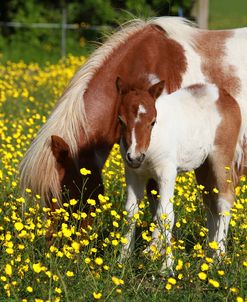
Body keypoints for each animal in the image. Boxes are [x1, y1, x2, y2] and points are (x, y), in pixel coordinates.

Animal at [117, 78, 241, 274]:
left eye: (153, 122)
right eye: (121, 120)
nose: (135, 157)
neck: (151, 144)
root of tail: (223, 94)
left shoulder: (167, 172)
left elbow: (165, 214)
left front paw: (166, 267)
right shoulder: (133, 174)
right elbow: (131, 212)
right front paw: (123, 258)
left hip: (221, 158)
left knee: (225, 199)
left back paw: (218, 258)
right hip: (203, 166)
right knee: (210, 202)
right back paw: (208, 253)